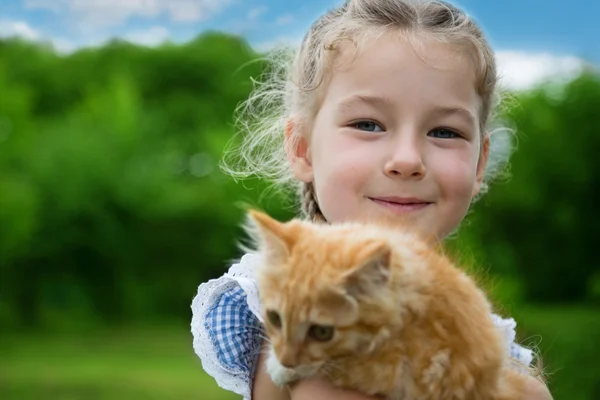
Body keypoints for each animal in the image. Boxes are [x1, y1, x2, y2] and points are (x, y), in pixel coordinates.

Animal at [246, 209, 532, 400]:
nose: (287, 360)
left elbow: (335, 367)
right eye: (274, 318)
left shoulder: (404, 373)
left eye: (322, 332)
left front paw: (279, 369)